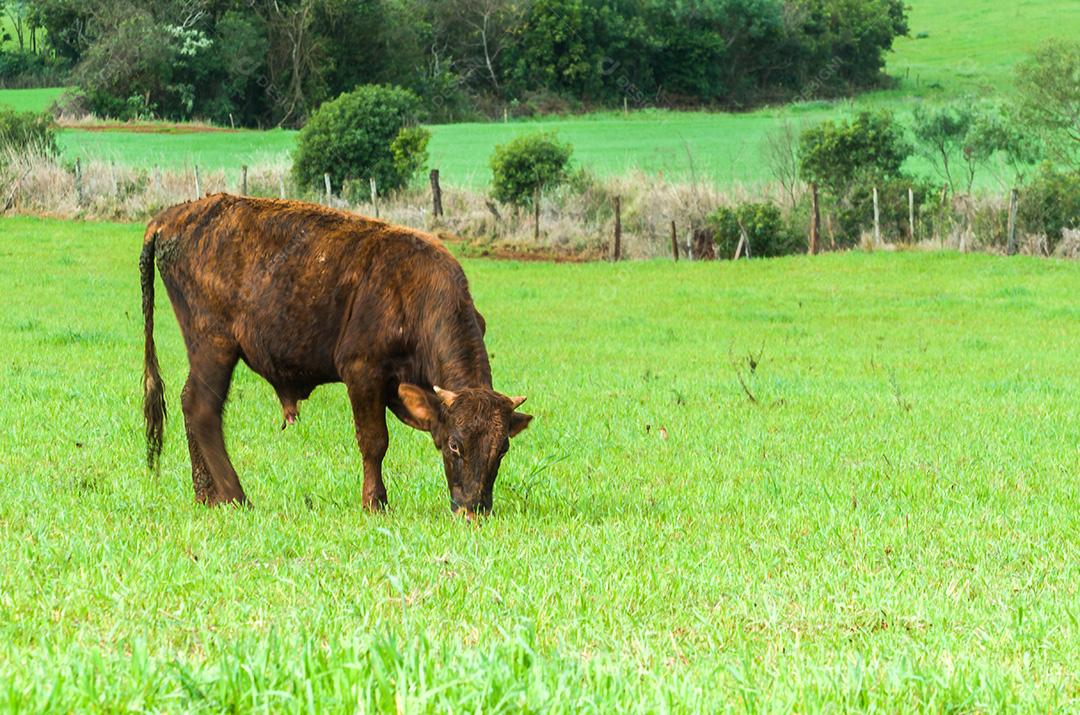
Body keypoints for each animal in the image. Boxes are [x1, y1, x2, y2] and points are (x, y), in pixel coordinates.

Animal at [139, 193, 535, 518]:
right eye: (455, 445)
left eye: (502, 448)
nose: (473, 510)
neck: (415, 295)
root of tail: (175, 215)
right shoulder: (362, 371)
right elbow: (375, 441)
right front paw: (375, 502)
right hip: (214, 344)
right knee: (202, 407)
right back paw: (236, 496)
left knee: (189, 403)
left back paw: (206, 494)